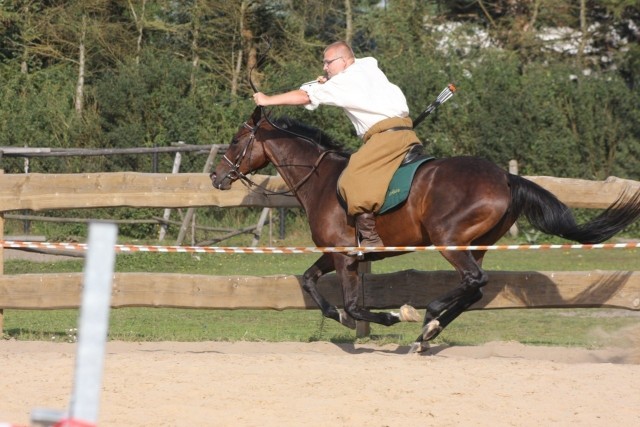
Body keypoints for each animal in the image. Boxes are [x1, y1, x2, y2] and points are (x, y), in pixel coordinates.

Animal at [211, 106, 640, 352]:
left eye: (234, 140)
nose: (216, 176)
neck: (322, 179)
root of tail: (504, 176)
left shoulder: (345, 256)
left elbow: (352, 303)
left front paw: (391, 317)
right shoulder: (336, 255)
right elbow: (311, 283)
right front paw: (349, 320)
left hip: (448, 241)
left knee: (474, 281)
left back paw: (428, 316)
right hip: (474, 244)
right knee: (475, 286)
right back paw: (428, 332)